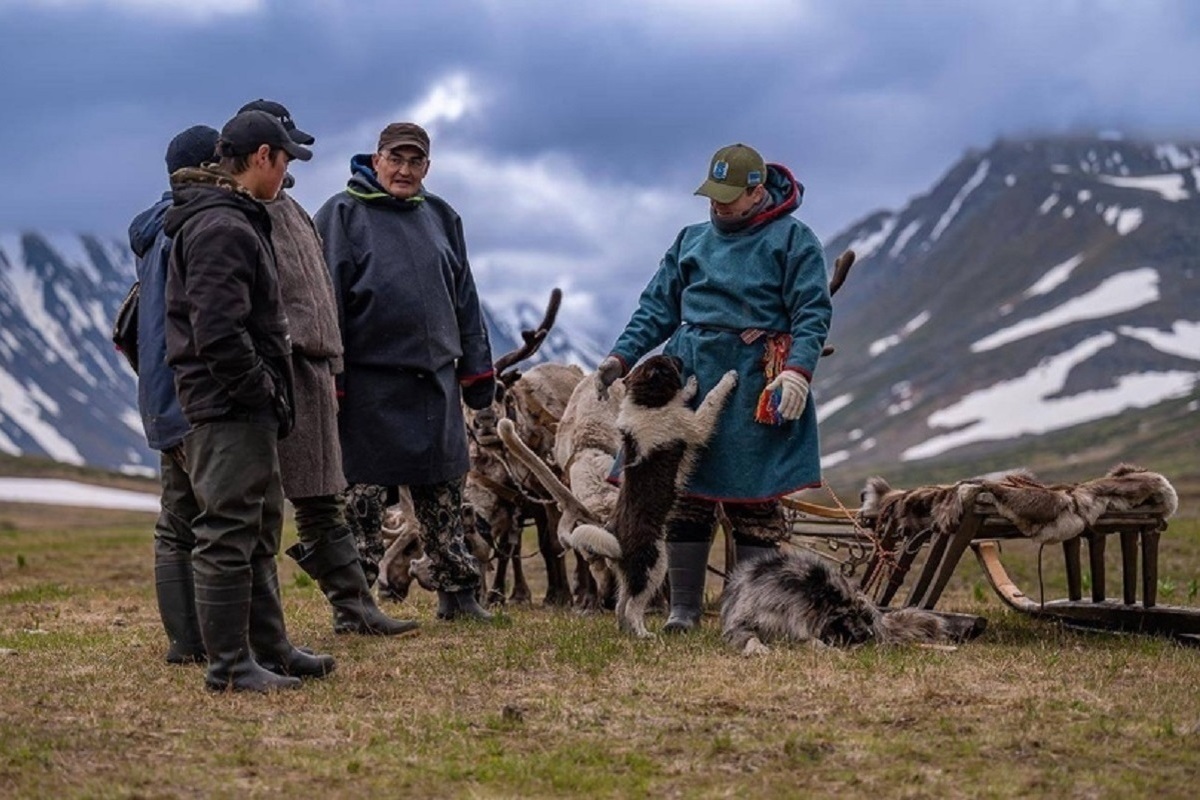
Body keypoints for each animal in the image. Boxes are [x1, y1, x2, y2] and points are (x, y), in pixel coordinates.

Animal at [720, 551, 984, 657]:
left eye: (860, 615)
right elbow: (749, 636)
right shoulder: (741, 623)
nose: (867, 634)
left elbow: (811, 640)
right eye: (847, 614)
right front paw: (757, 648)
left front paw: (828, 650)